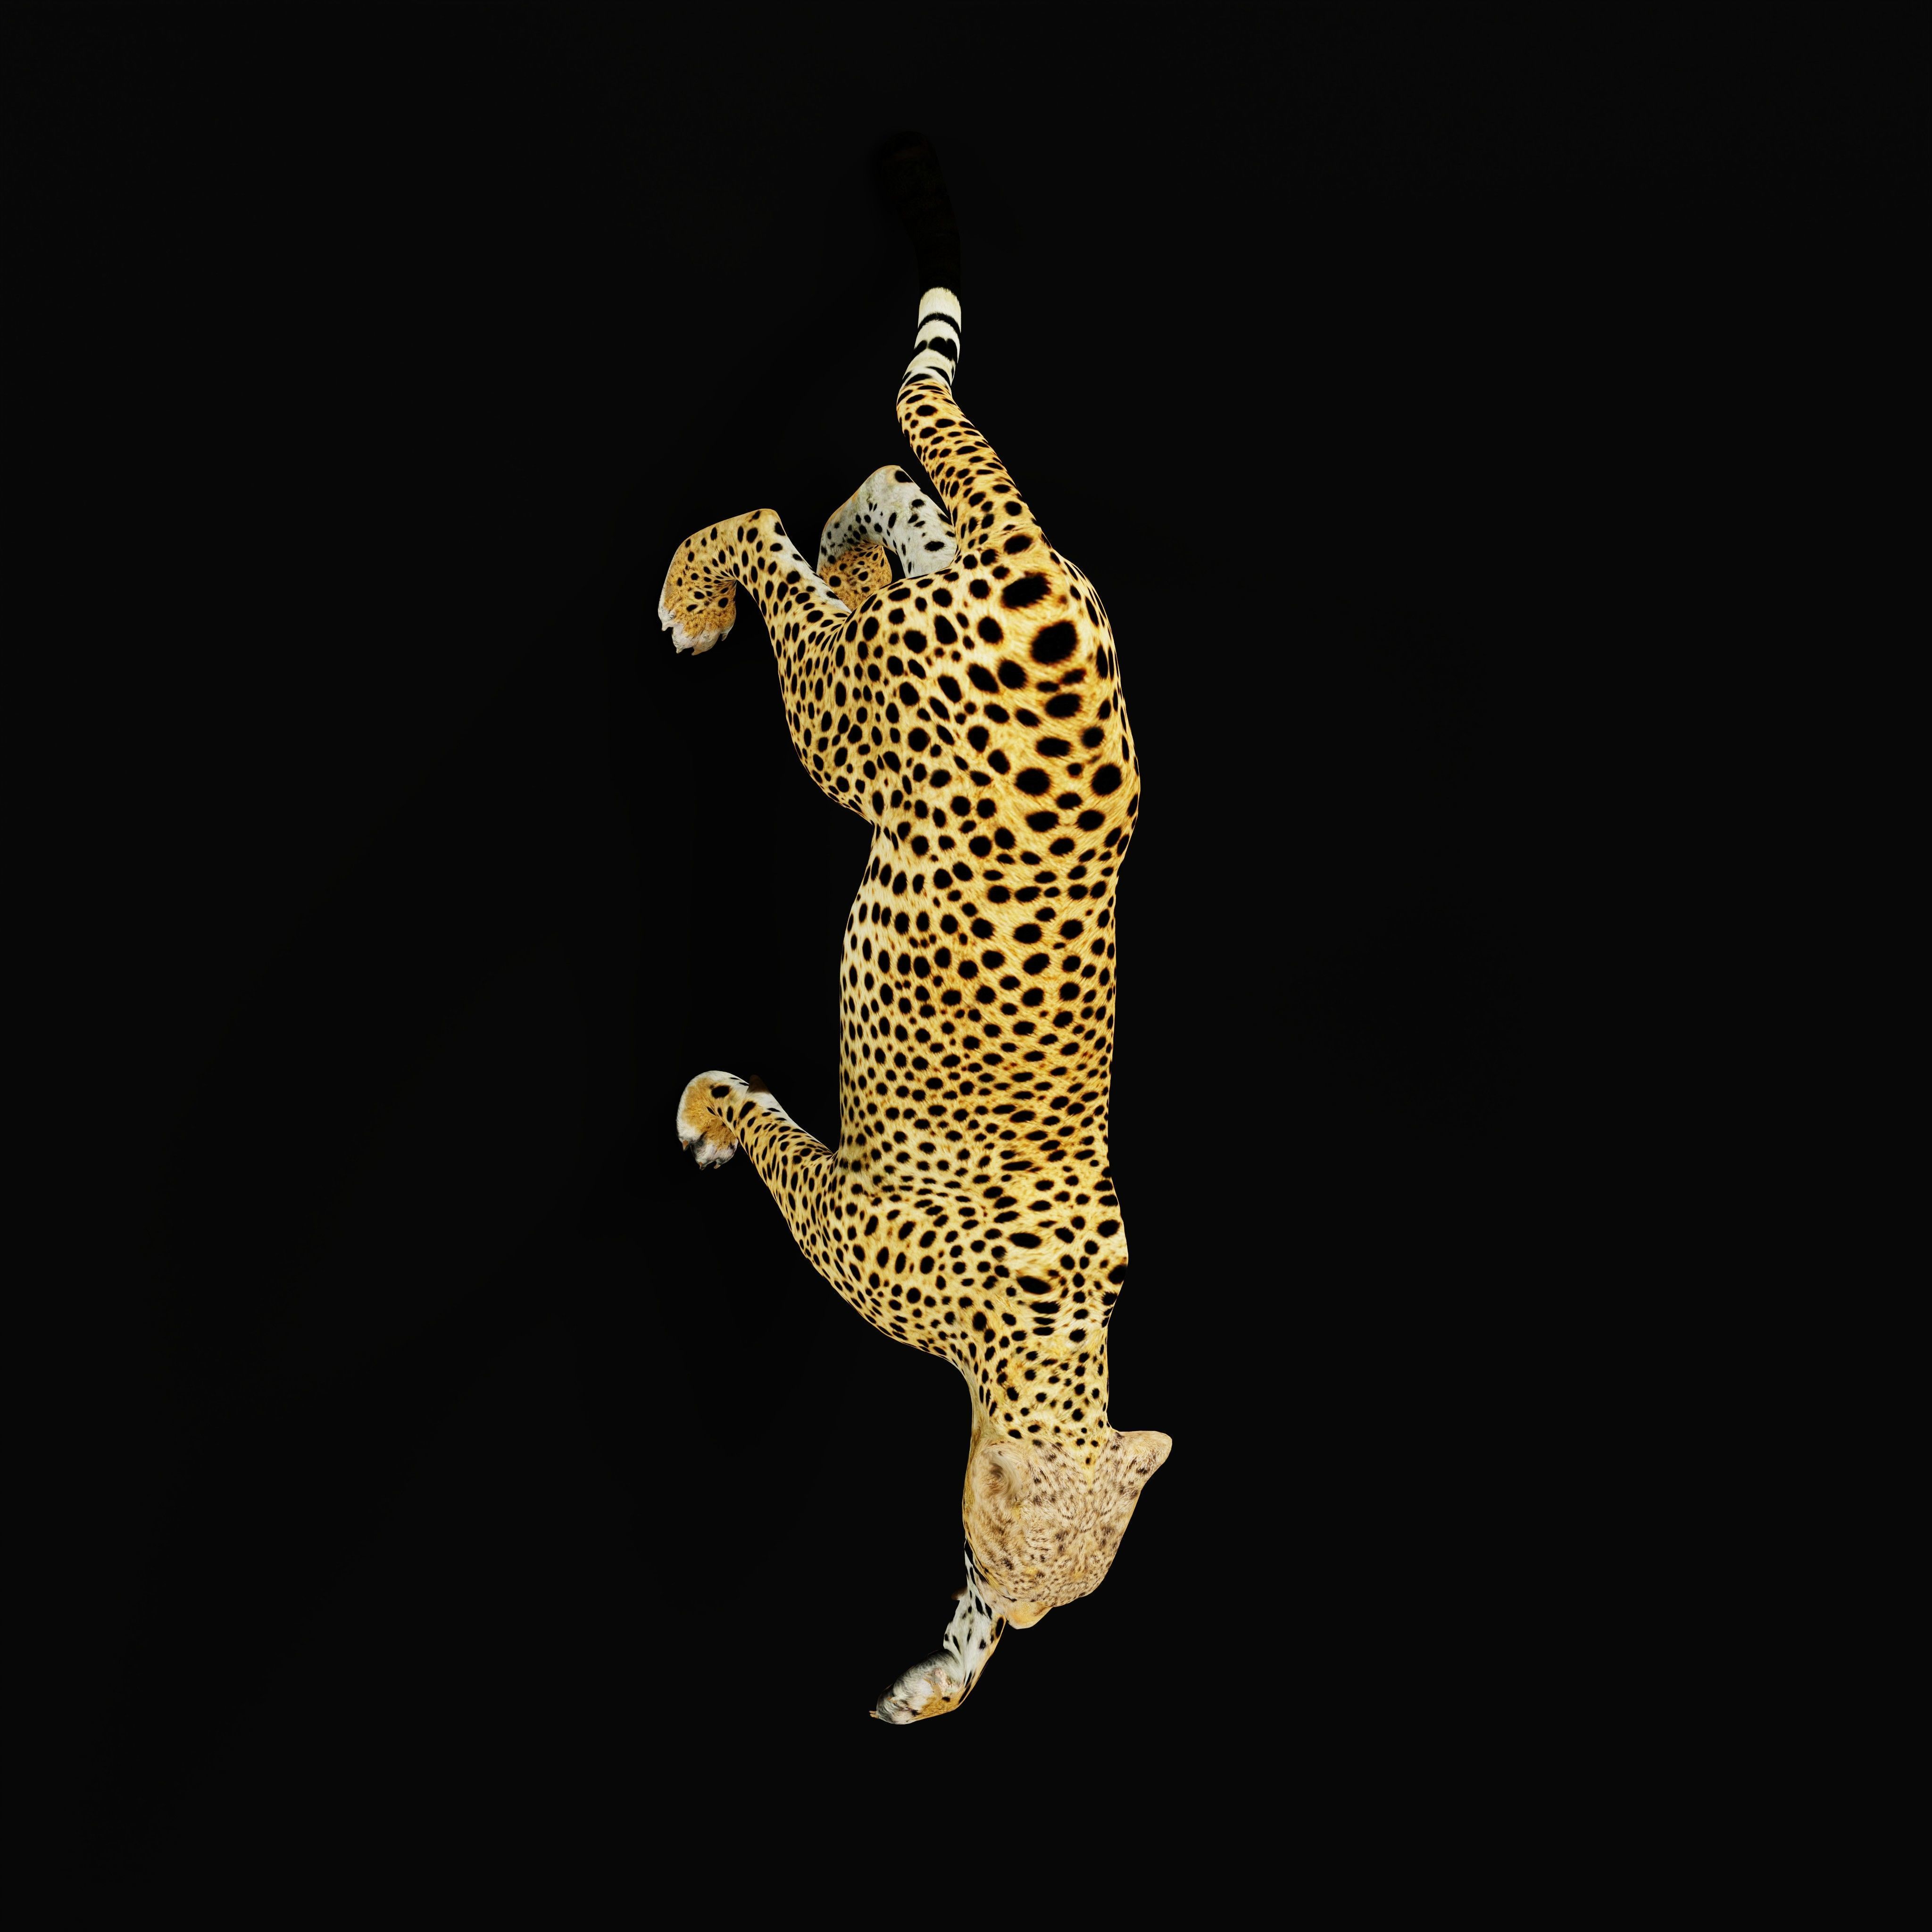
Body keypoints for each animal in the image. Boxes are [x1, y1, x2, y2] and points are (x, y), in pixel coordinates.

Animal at [661, 133, 1170, 1725]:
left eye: (1073, 1591)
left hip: (910, 676)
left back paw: (864, 533)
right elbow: (775, 1143)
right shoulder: (837, 1217)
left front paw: (942, 1677)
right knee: (775, 537)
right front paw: (715, 1107)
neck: (1053, 1347)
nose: (1026, 1612)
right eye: (1028, 1555)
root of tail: (1041, 587)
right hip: (854, 728)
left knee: (896, 494)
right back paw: (703, 586)